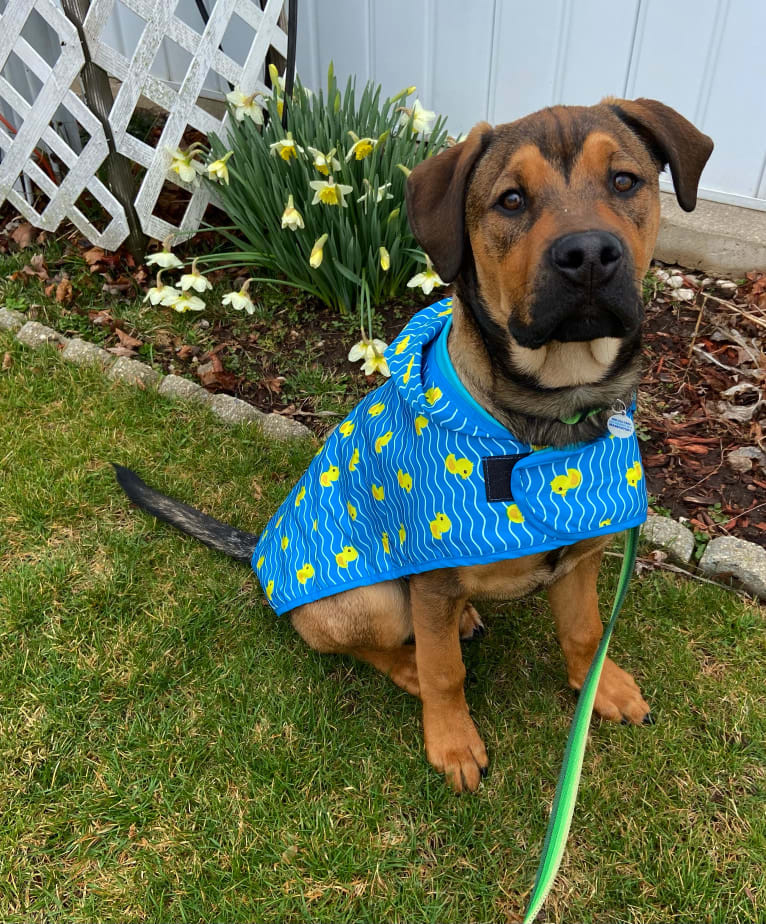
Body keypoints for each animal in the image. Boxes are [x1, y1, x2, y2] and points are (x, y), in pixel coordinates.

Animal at [117, 99, 716, 796]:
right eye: (511, 199)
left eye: (624, 181)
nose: (590, 254)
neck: (548, 413)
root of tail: (260, 555)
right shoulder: (429, 577)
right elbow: (445, 673)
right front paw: (453, 742)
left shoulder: (583, 557)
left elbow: (587, 633)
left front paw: (604, 689)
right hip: (372, 598)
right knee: (363, 643)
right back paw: (408, 665)